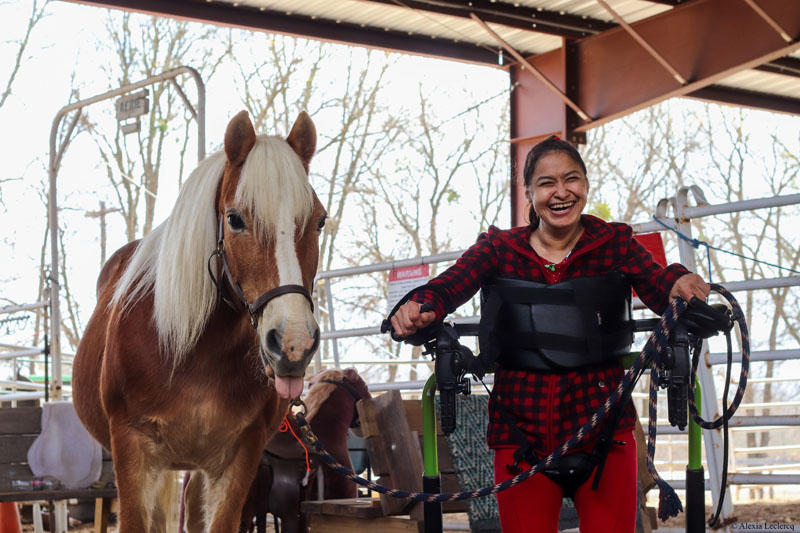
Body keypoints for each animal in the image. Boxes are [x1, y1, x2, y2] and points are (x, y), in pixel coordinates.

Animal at [72, 109, 326, 532]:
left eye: (320, 221)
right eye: (235, 219)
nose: (293, 344)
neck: (188, 350)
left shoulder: (240, 455)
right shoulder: (132, 449)